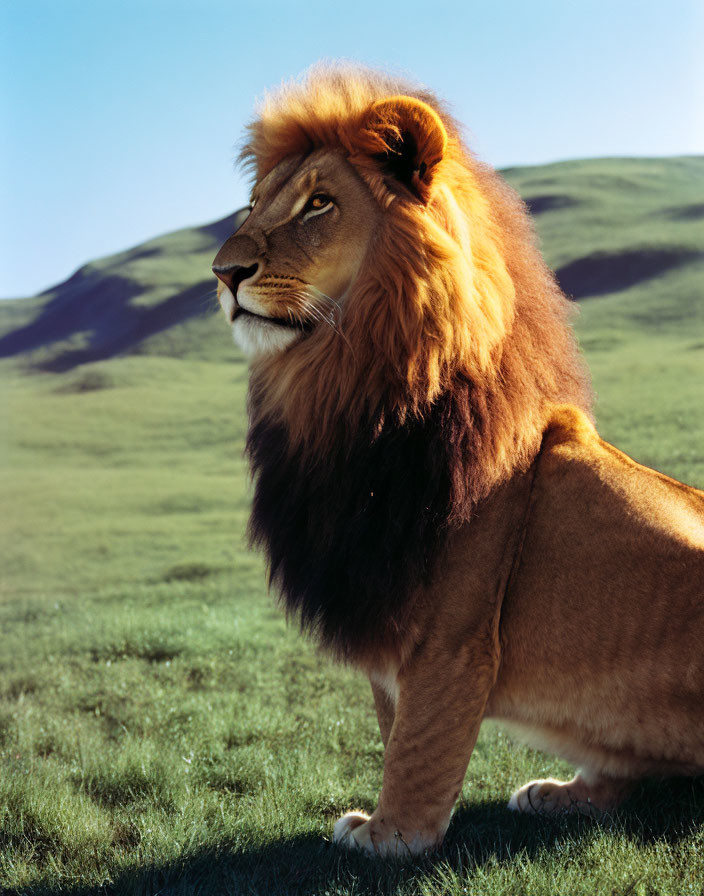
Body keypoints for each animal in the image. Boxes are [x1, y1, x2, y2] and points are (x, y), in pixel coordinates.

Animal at [210, 66, 704, 856]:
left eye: (320, 203)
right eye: (255, 204)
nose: (224, 272)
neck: (344, 385)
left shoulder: (452, 627)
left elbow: (422, 736)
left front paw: (391, 833)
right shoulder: (386, 612)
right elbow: (395, 722)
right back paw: (562, 793)